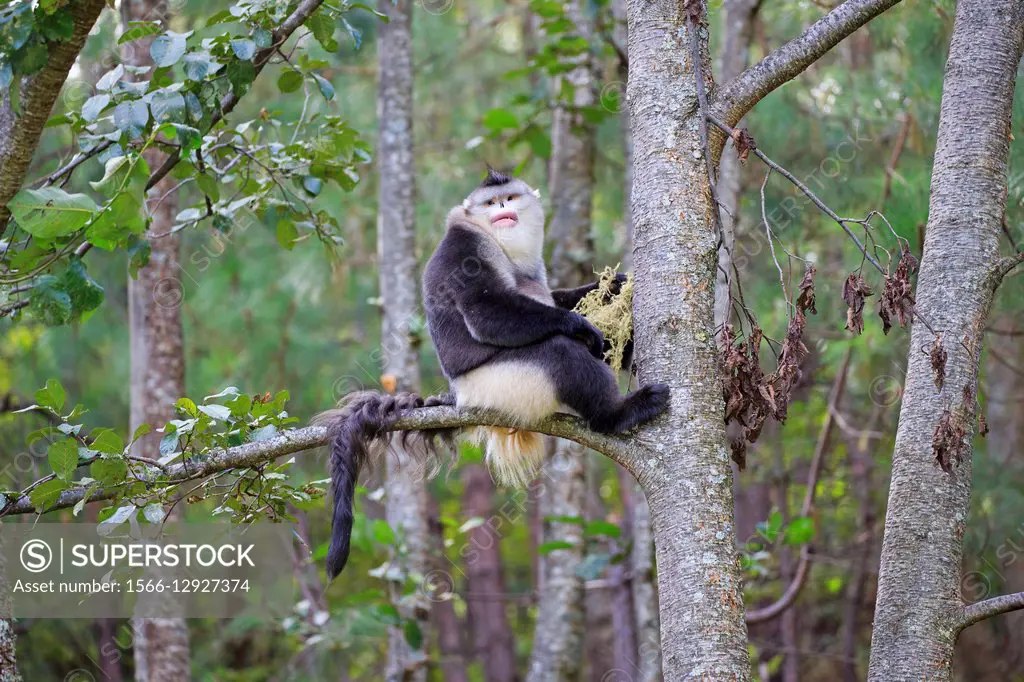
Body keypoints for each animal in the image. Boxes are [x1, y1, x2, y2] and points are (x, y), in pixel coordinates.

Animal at [319, 166, 671, 577]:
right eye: (491, 202)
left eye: (510, 197)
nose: (503, 207)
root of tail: (459, 397)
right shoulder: (465, 250)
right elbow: (488, 312)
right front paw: (579, 326)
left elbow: (554, 295)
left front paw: (612, 285)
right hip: (501, 386)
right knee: (559, 353)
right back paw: (617, 413)